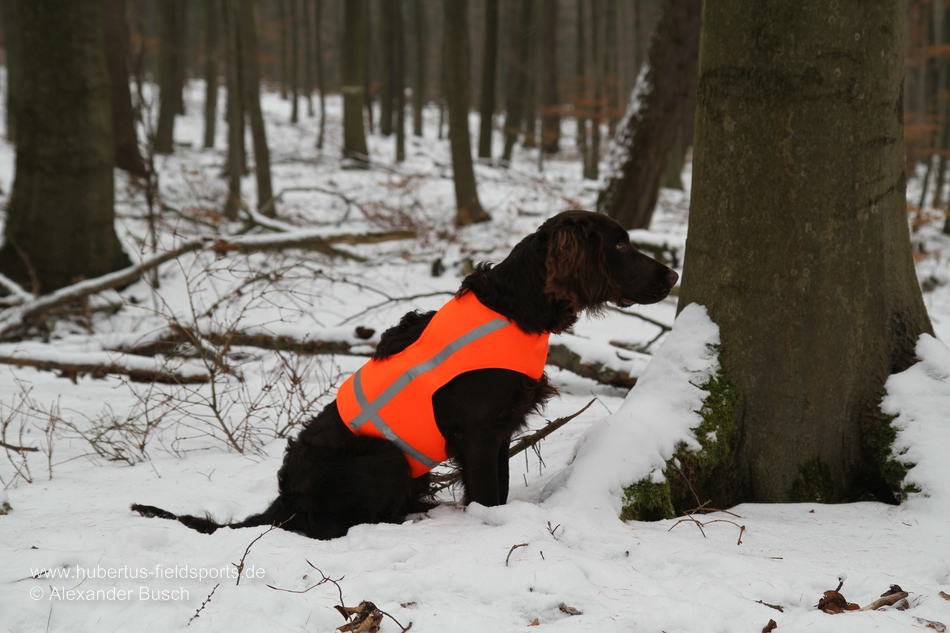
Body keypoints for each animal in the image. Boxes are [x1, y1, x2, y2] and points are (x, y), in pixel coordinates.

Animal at [134, 211, 680, 540]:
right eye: (620, 246)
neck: (515, 304)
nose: (673, 276)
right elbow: (487, 493)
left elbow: (500, 487)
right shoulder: (479, 432)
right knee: (334, 526)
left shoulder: (500, 431)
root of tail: (285, 500)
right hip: (387, 457)